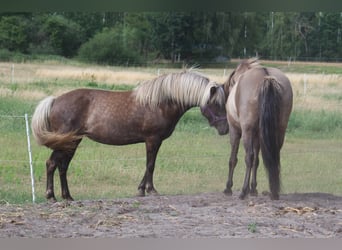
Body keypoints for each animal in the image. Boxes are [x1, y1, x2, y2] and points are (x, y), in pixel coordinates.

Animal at [31, 70, 224, 201]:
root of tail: (55, 100)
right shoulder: (153, 140)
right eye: (216, 103)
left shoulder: (153, 141)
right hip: (67, 141)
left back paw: (67, 197)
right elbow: (150, 165)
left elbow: (148, 166)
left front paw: (140, 190)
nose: (224, 129)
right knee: (52, 164)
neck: (161, 103)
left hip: (72, 142)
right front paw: (151, 190)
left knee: (62, 167)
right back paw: (51, 196)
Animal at [202, 58, 292, 199]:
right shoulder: (258, 135)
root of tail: (266, 76)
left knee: (248, 157)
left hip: (246, 132)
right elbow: (257, 160)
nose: (222, 130)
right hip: (279, 130)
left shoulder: (236, 132)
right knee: (274, 156)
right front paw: (253, 188)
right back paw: (274, 192)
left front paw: (229, 188)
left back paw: (243, 191)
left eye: (213, 106)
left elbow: (233, 159)